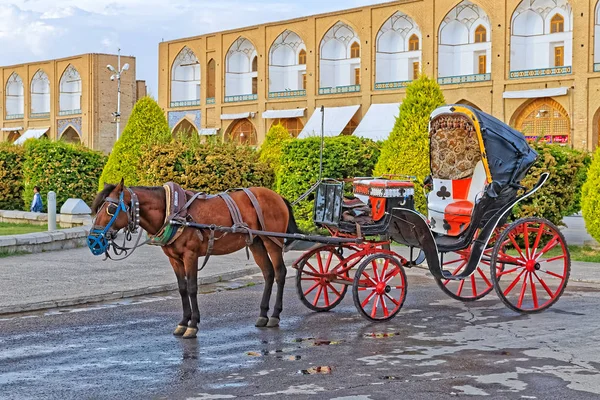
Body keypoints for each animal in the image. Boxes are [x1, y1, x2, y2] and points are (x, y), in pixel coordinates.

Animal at [91, 180, 298, 340]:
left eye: (111, 209)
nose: (93, 239)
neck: (173, 212)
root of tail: (277, 196)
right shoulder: (174, 259)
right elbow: (182, 289)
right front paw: (183, 323)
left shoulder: (190, 255)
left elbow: (191, 288)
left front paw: (193, 325)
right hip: (256, 242)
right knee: (268, 273)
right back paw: (263, 314)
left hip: (272, 241)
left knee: (280, 273)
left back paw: (275, 315)